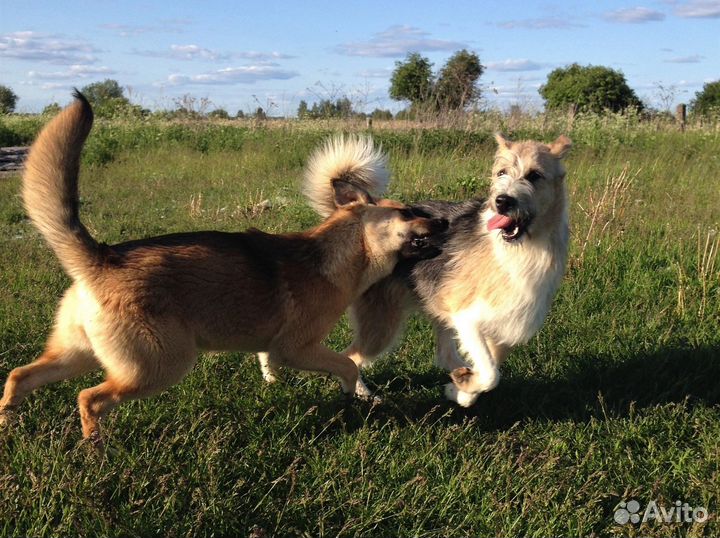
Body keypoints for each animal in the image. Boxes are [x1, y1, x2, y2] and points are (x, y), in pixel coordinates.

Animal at [0, 93, 448, 440]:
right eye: (409, 212)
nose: (445, 222)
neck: (337, 254)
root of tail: (100, 257)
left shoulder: (274, 345)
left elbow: (269, 362)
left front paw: (275, 384)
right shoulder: (298, 347)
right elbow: (347, 364)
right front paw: (354, 393)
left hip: (80, 354)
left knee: (20, 376)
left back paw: (9, 424)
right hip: (159, 366)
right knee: (89, 399)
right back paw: (96, 448)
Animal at [306, 132, 572, 404]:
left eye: (535, 175)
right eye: (501, 173)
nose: (502, 201)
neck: (520, 248)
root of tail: (357, 214)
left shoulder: (507, 327)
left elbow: (489, 372)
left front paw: (461, 389)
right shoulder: (466, 316)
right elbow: (490, 374)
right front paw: (464, 386)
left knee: (445, 356)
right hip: (382, 325)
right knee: (350, 357)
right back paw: (363, 394)